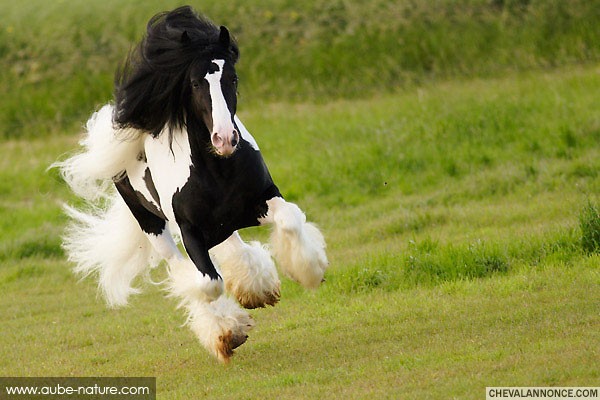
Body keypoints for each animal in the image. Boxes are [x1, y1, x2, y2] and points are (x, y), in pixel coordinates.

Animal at [54, 6, 328, 362]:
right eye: (196, 83)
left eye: (232, 78)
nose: (225, 139)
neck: (217, 170)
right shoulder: (190, 232)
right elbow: (207, 283)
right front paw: (227, 334)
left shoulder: (264, 198)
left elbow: (291, 219)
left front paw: (308, 272)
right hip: (152, 225)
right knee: (180, 269)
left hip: (221, 222)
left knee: (231, 244)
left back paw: (255, 288)